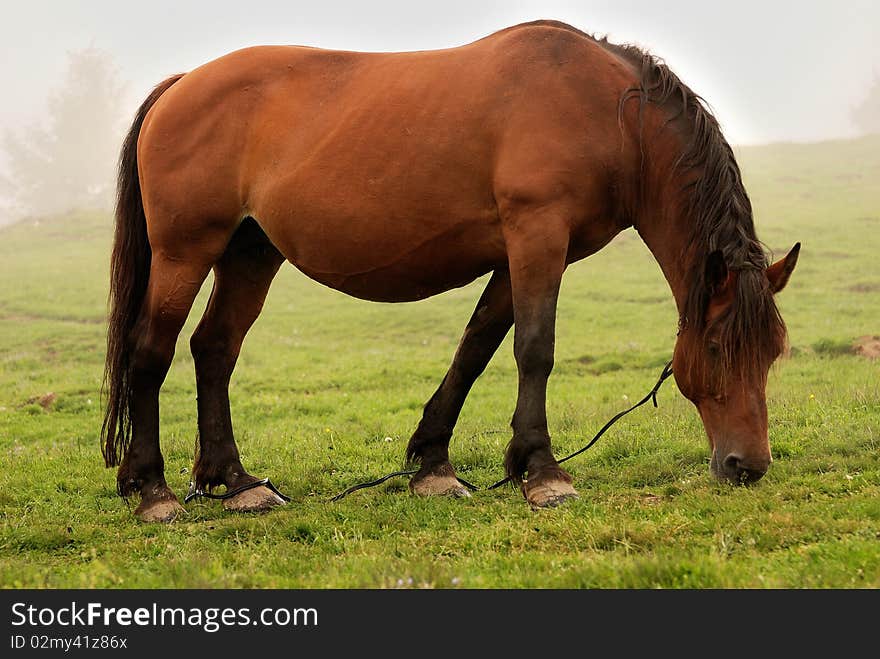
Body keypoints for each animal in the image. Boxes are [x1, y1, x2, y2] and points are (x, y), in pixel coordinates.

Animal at [101, 19, 796, 520]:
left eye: (772, 352)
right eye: (716, 346)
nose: (748, 466)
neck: (608, 112)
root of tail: (182, 84)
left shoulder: (524, 253)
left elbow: (476, 348)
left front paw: (436, 464)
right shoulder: (537, 234)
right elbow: (534, 349)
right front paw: (544, 472)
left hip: (250, 253)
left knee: (214, 350)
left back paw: (237, 482)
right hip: (185, 253)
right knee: (150, 352)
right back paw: (153, 490)